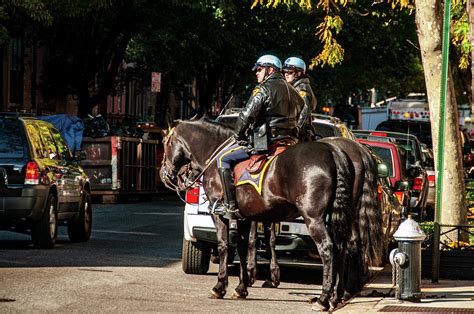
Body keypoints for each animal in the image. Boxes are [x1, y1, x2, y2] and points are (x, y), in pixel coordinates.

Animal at [161, 118, 384, 312]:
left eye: (166, 143)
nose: (165, 174)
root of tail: (334, 151)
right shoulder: (245, 216)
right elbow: (243, 246)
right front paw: (242, 287)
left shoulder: (221, 216)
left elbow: (226, 245)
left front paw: (220, 287)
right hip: (342, 215)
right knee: (345, 246)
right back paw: (337, 296)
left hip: (314, 218)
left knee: (328, 249)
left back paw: (323, 299)